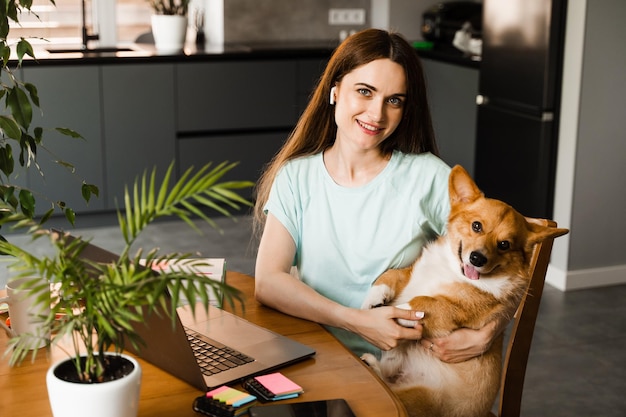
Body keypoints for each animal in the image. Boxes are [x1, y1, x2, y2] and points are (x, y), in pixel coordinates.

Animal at [358, 164, 568, 416]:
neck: (451, 271)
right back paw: (371, 363)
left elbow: (424, 302)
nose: (477, 258)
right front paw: (373, 299)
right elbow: (390, 275)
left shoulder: (454, 310)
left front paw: (400, 311)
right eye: (476, 226)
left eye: (504, 244)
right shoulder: (410, 275)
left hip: (419, 396)